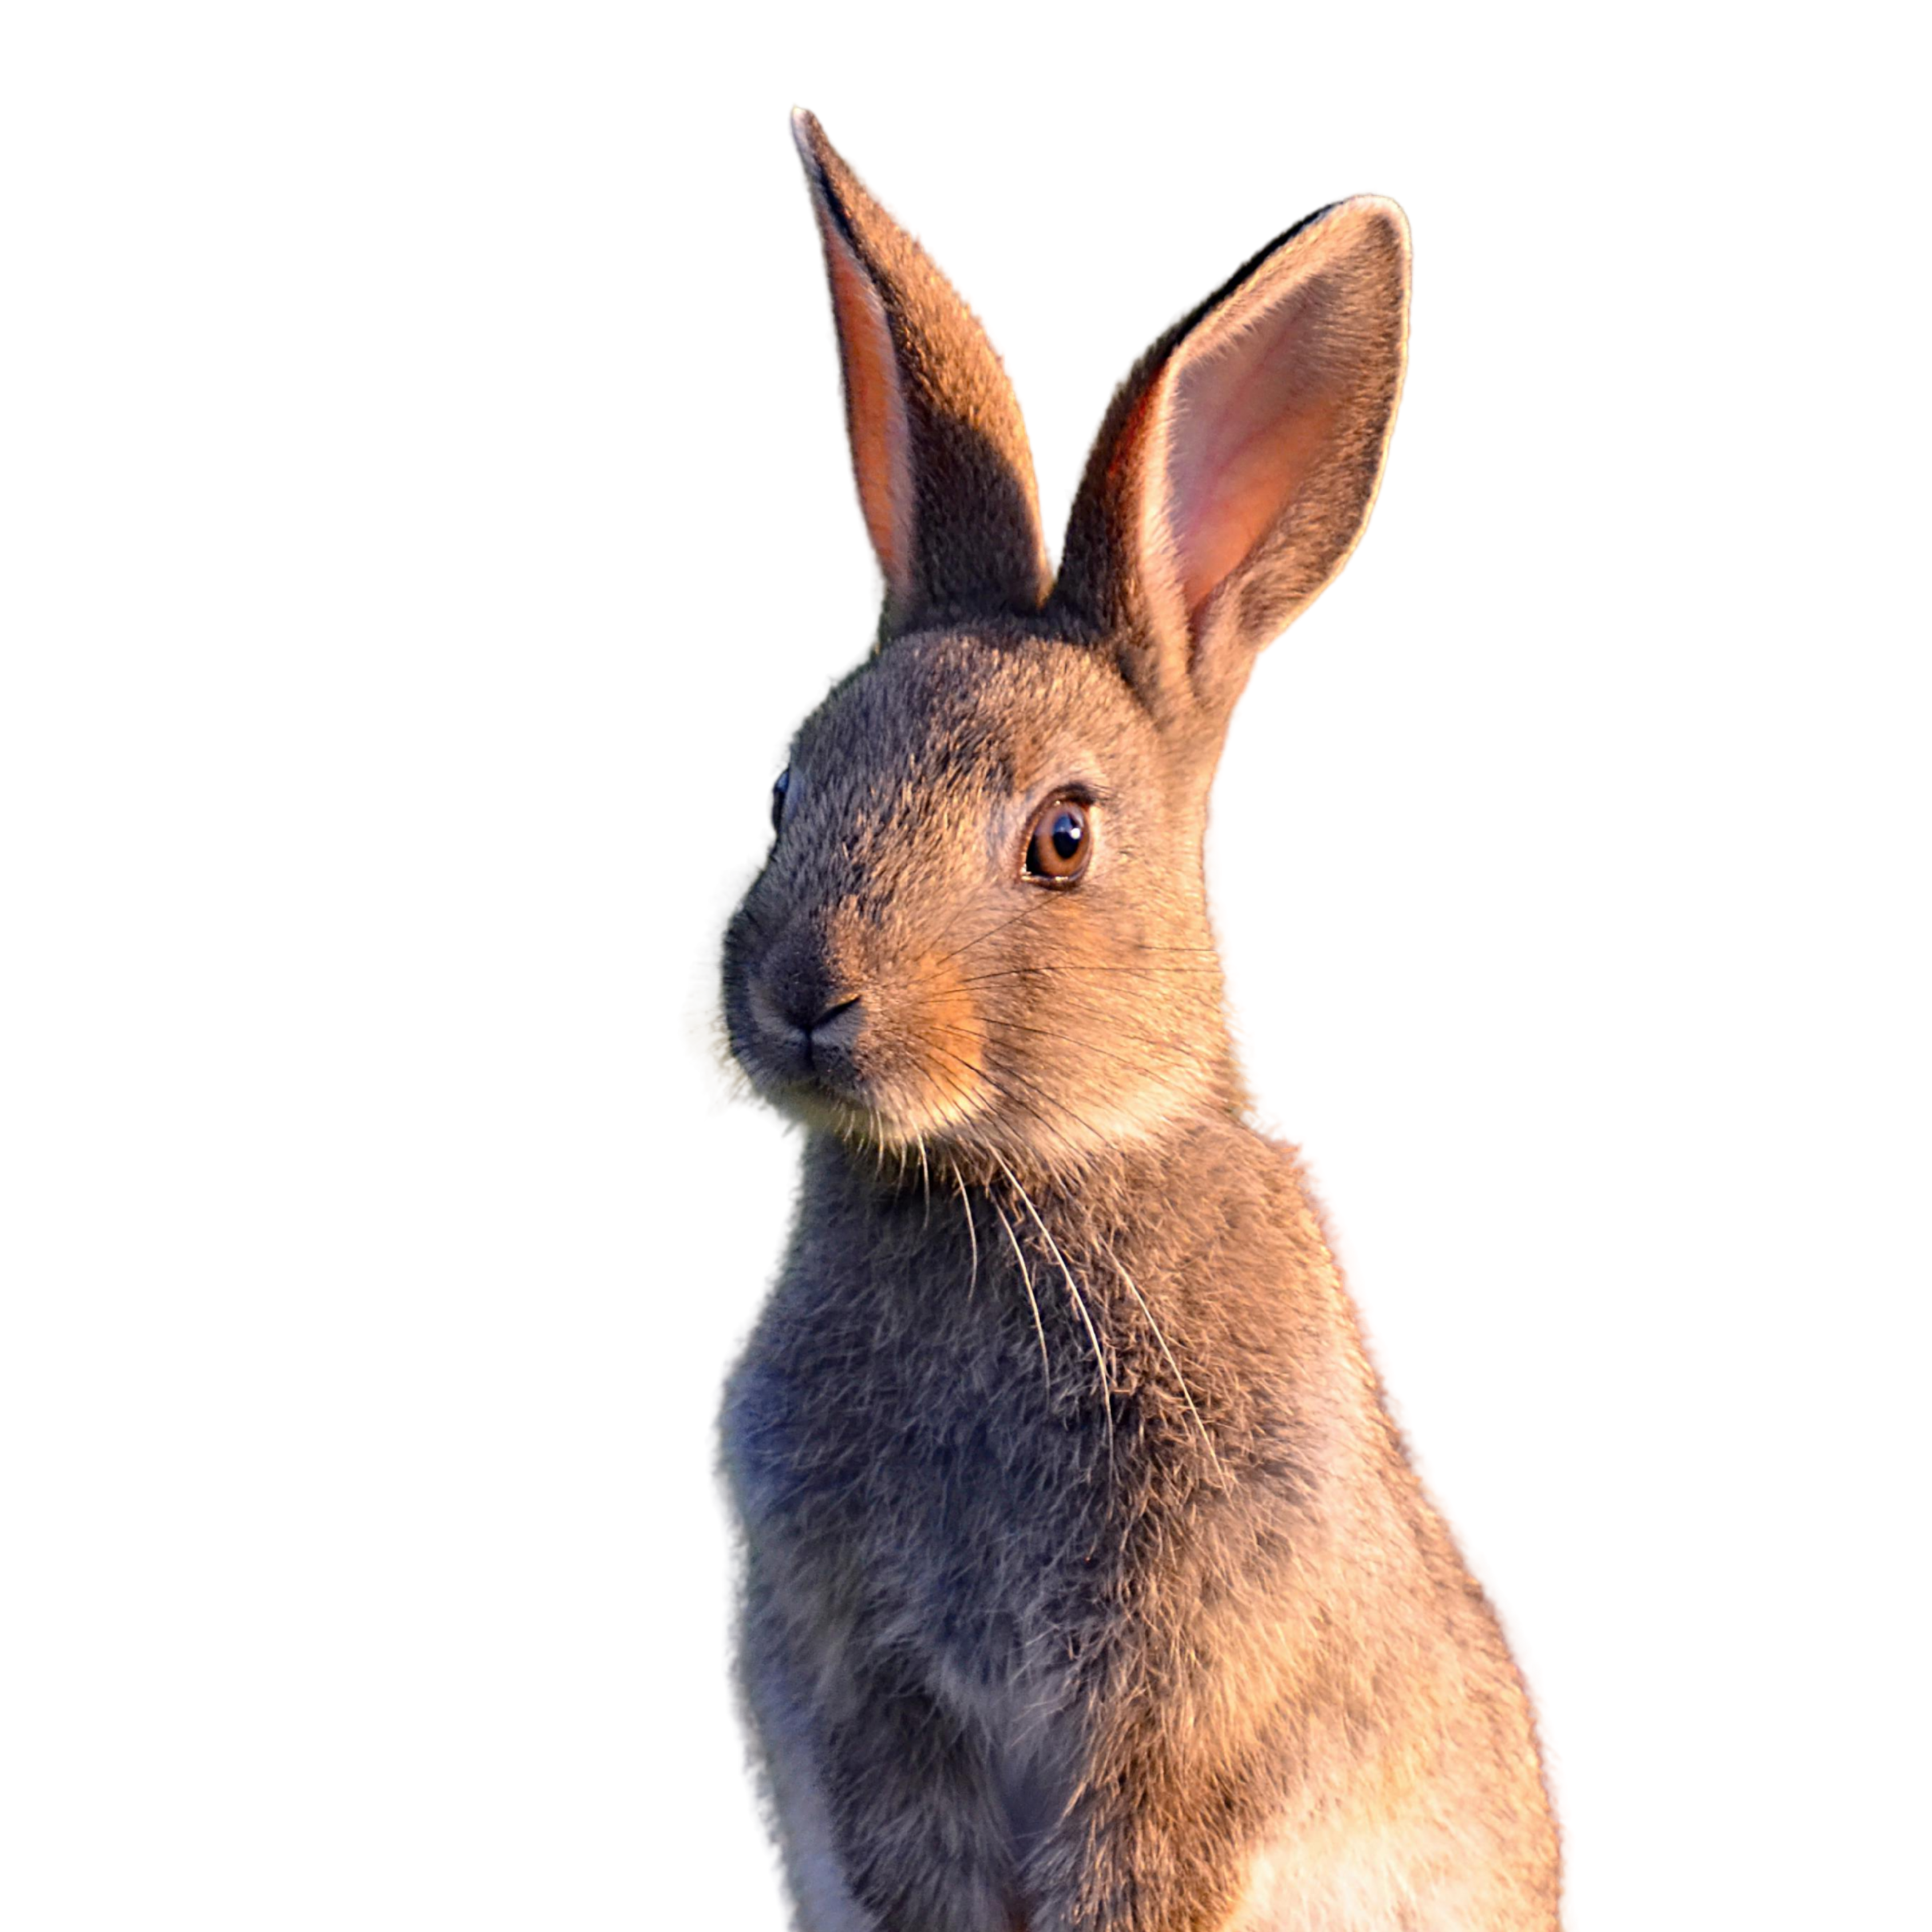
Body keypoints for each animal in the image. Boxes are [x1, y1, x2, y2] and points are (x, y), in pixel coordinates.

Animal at [683, 103, 1574, 1932]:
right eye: (786, 785)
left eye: (1062, 838)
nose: (805, 997)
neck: (1000, 1185)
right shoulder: (868, 1692)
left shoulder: (1190, 1689)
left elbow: (1144, 1848)